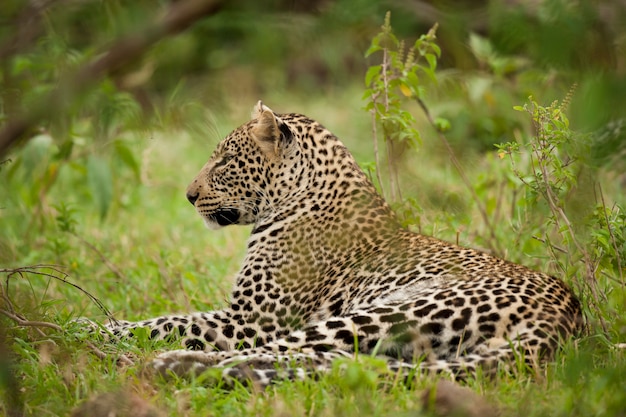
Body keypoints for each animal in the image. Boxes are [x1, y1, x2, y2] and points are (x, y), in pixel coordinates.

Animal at [91, 101, 580, 386]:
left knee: (278, 355)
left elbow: (168, 321)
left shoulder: (250, 322)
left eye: (226, 161)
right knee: (333, 364)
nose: (189, 196)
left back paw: (158, 363)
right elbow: (168, 318)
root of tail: (565, 319)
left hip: (387, 312)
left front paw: (92, 327)